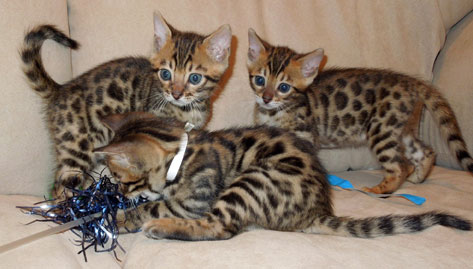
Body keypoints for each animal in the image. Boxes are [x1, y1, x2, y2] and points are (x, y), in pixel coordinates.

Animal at [21, 12, 231, 197]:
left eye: (195, 78)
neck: (187, 109)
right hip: (76, 147)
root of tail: (60, 89)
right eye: (165, 74)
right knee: (60, 185)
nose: (176, 94)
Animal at [92, 111, 468, 241]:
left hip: (254, 180)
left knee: (222, 228)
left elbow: (151, 206)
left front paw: (118, 218)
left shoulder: (193, 202)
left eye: (121, 179)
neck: (182, 151)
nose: (118, 193)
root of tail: (317, 211)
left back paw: (161, 228)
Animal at [245, 28, 472, 193]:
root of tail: (412, 82)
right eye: (260, 80)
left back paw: (378, 190)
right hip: (403, 129)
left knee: (400, 166)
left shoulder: (304, 137)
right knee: (425, 152)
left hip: (381, 129)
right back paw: (417, 178)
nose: (266, 98)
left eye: (284, 87)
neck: (275, 112)